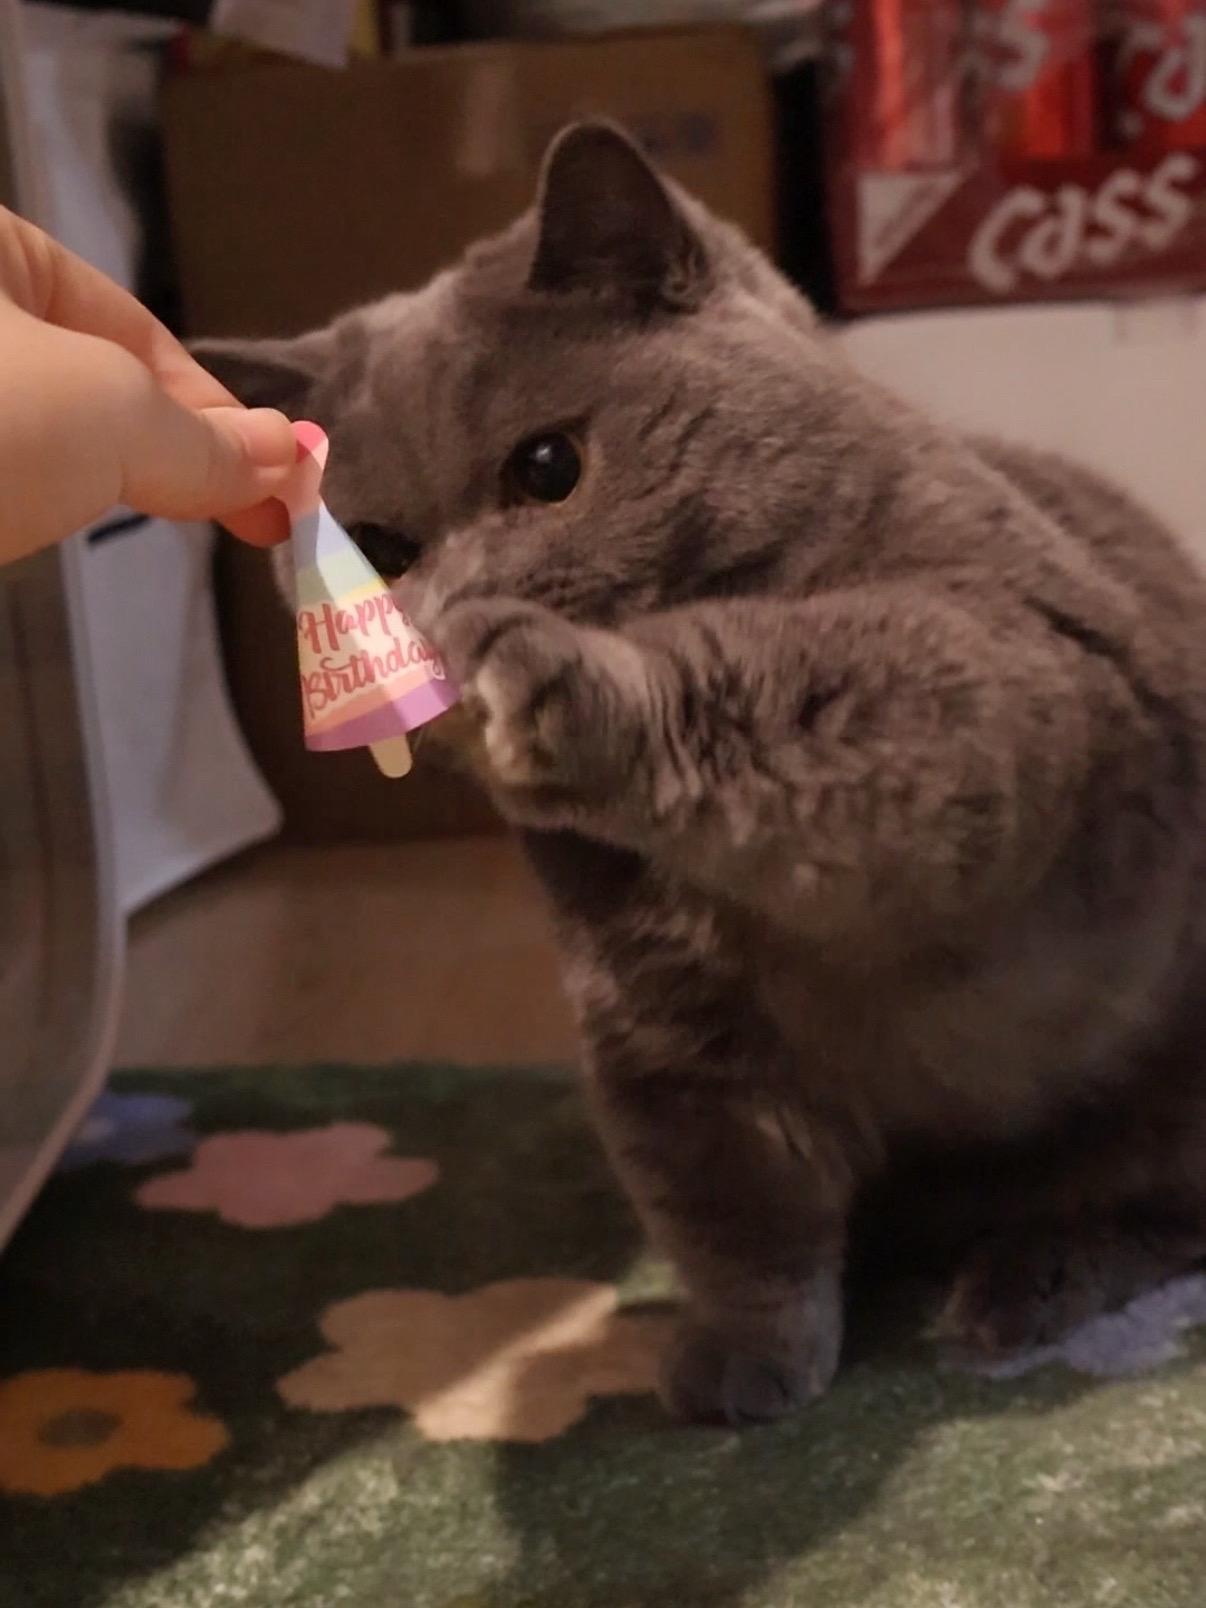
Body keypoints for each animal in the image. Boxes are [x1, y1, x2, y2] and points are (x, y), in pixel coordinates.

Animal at [194, 122, 1206, 1427]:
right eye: (372, 550)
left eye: (547, 467)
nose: (438, 620)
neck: (717, 879)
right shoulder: (666, 1031)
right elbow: (734, 1212)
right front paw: (740, 1372)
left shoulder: (1036, 668)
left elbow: (819, 683)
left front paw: (557, 682)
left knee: (1168, 1210)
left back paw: (1025, 1284)